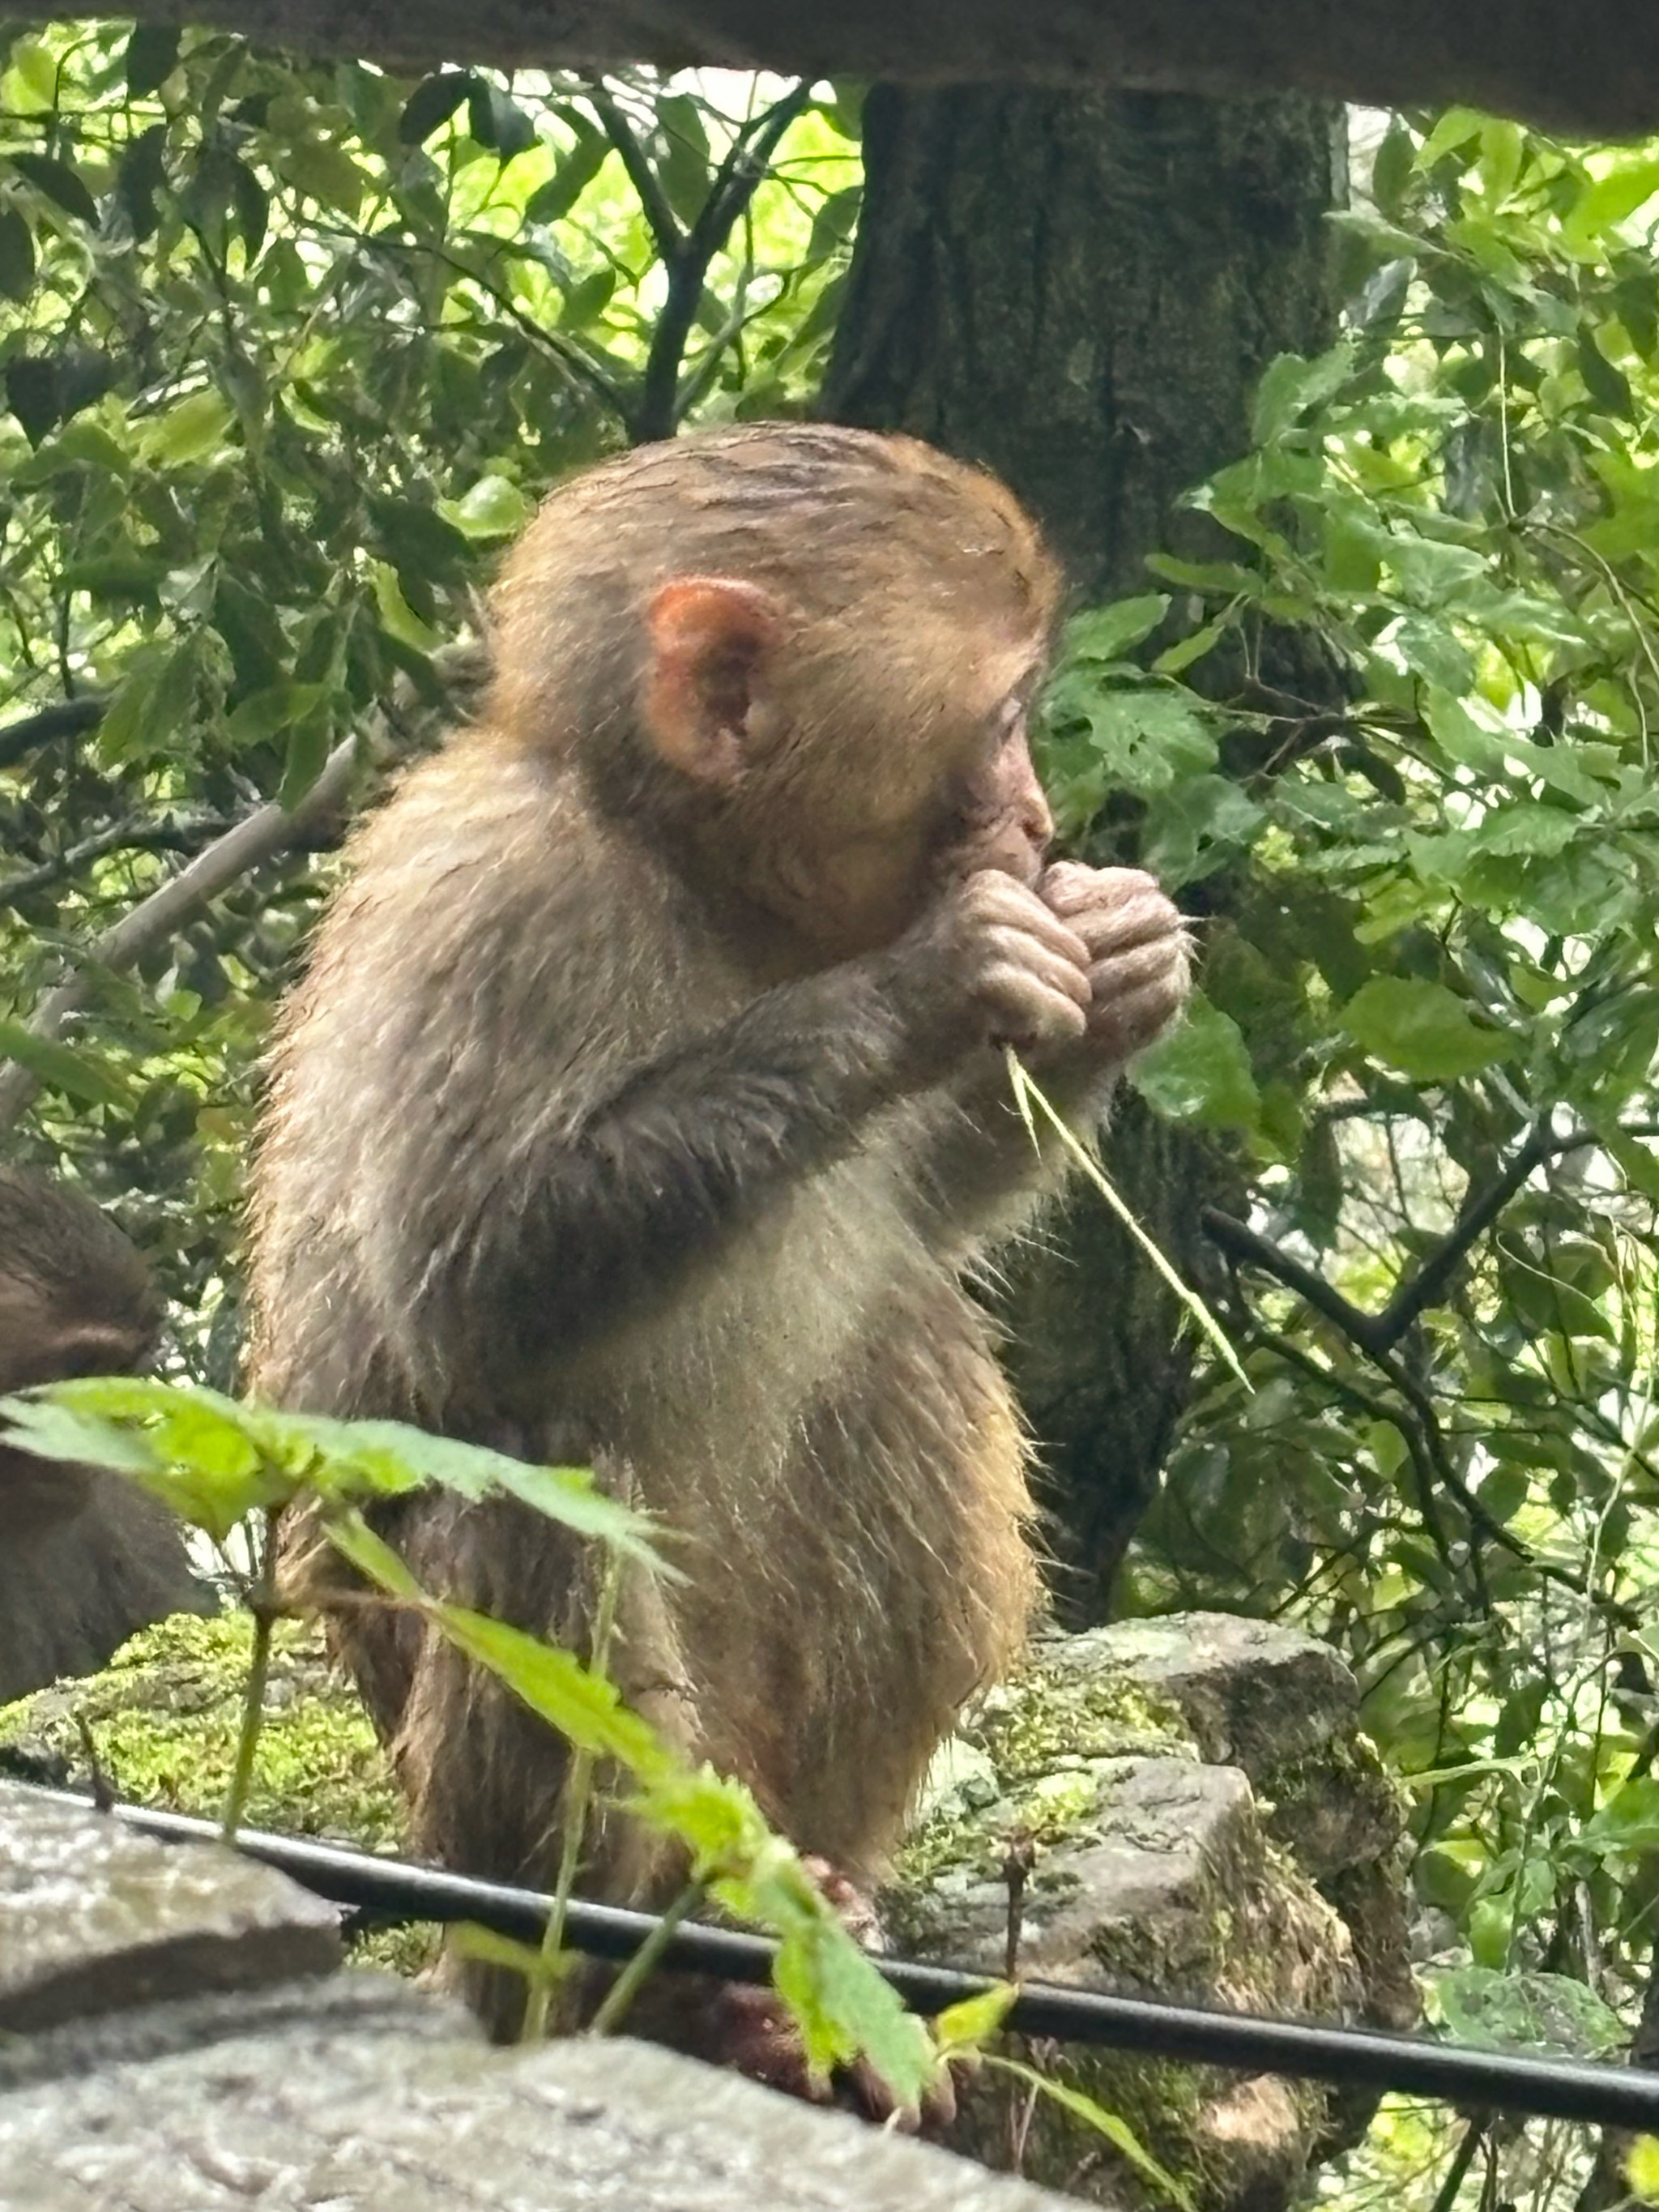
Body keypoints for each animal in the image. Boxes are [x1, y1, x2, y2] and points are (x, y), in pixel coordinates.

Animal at [249, 417, 1194, 2070]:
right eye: (1004, 721)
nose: (1036, 824)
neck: (686, 868)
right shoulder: (494, 914)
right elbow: (464, 1295)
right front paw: (934, 978)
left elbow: (915, 1206)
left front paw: (1119, 960)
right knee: (539, 1472)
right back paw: (627, 1961)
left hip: (760, 1758)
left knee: (898, 1338)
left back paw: (818, 1912)